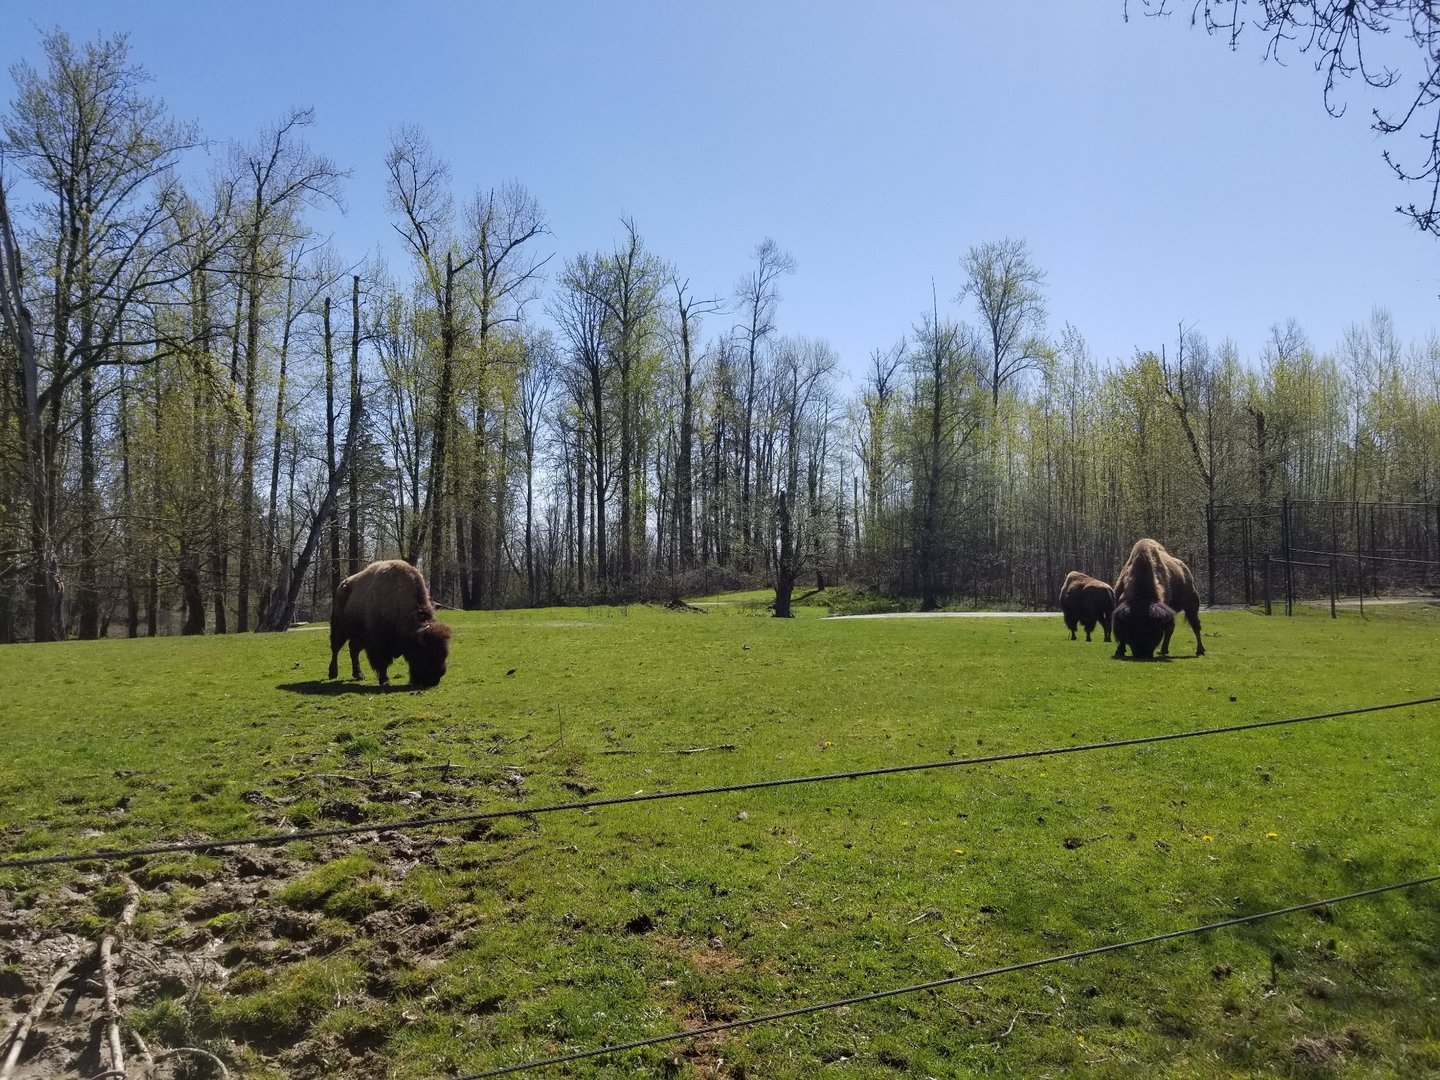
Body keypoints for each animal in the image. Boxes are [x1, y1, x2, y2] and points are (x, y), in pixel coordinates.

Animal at [328, 560, 452, 688]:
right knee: (335, 649)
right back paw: (333, 673)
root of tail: (340, 587)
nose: (434, 681)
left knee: (353, 651)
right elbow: (382, 663)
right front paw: (385, 681)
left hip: (358, 637)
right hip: (339, 629)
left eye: (444, 654)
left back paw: (359, 675)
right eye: (427, 653)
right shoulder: (378, 645)